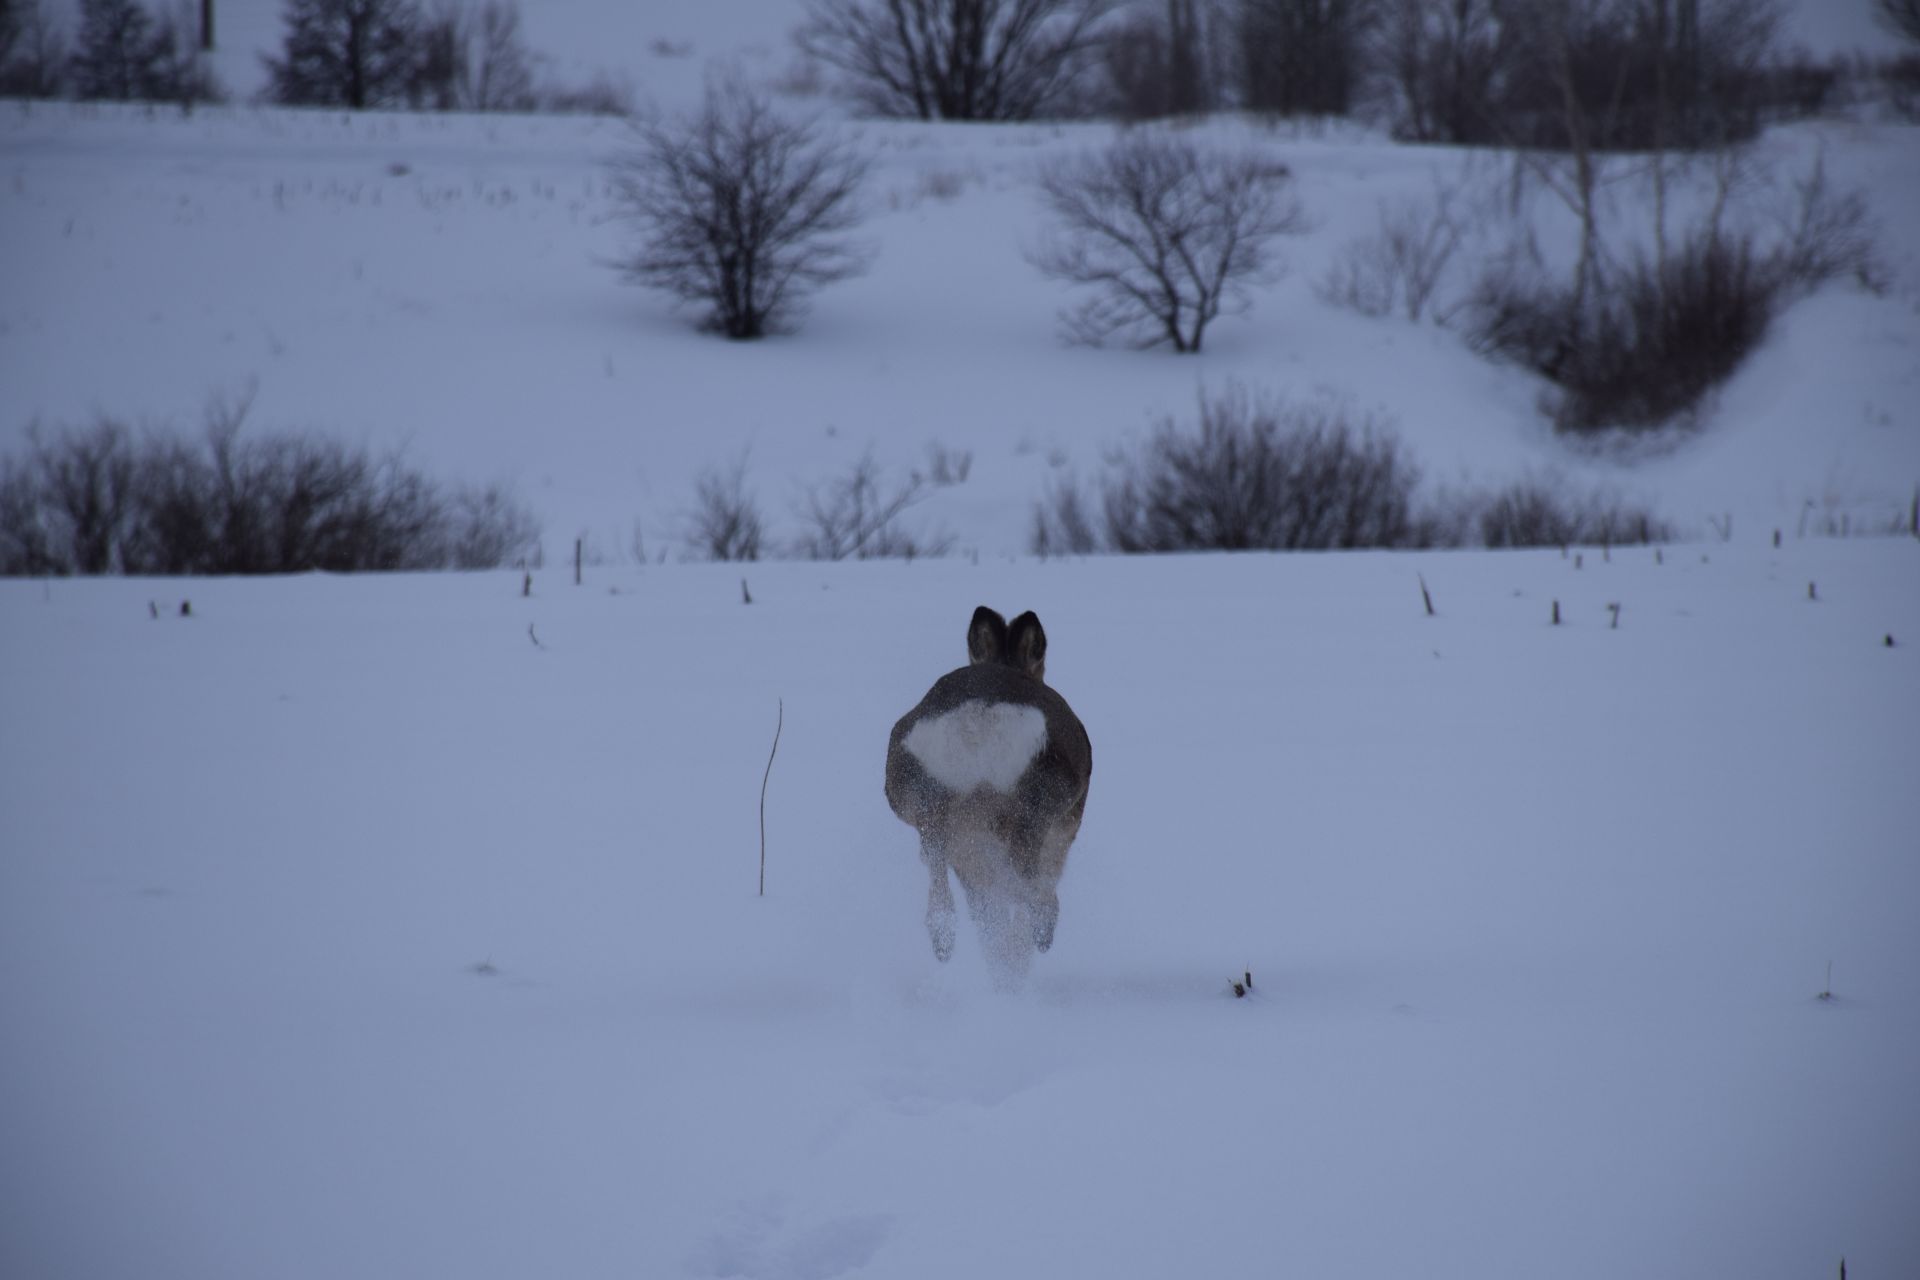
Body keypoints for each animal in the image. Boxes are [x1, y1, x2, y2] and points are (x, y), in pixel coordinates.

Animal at [887, 610, 1098, 982]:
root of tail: (977, 718)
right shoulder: (1066, 828)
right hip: (1036, 804)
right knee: (1028, 887)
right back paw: (1040, 935)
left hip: (920, 795)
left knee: (936, 860)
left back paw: (945, 943)